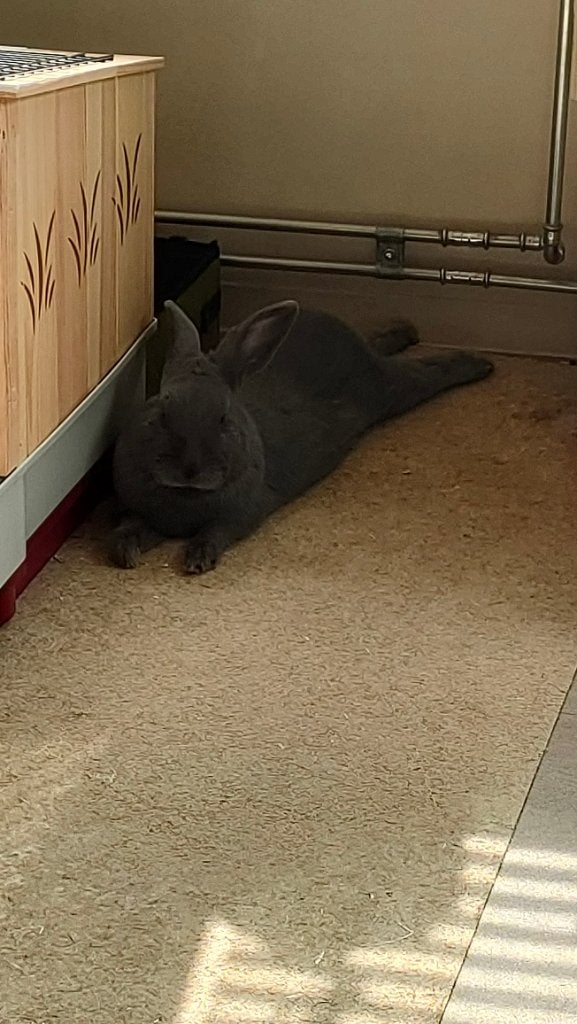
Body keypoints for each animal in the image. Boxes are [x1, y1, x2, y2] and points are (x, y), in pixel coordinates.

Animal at [110, 300, 493, 574]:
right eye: (160, 411)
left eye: (224, 418)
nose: (190, 469)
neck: (185, 496)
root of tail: (353, 341)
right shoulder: (143, 512)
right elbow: (130, 526)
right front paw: (125, 554)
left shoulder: (243, 513)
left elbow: (217, 532)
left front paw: (198, 560)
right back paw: (407, 331)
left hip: (388, 390)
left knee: (425, 373)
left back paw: (478, 365)